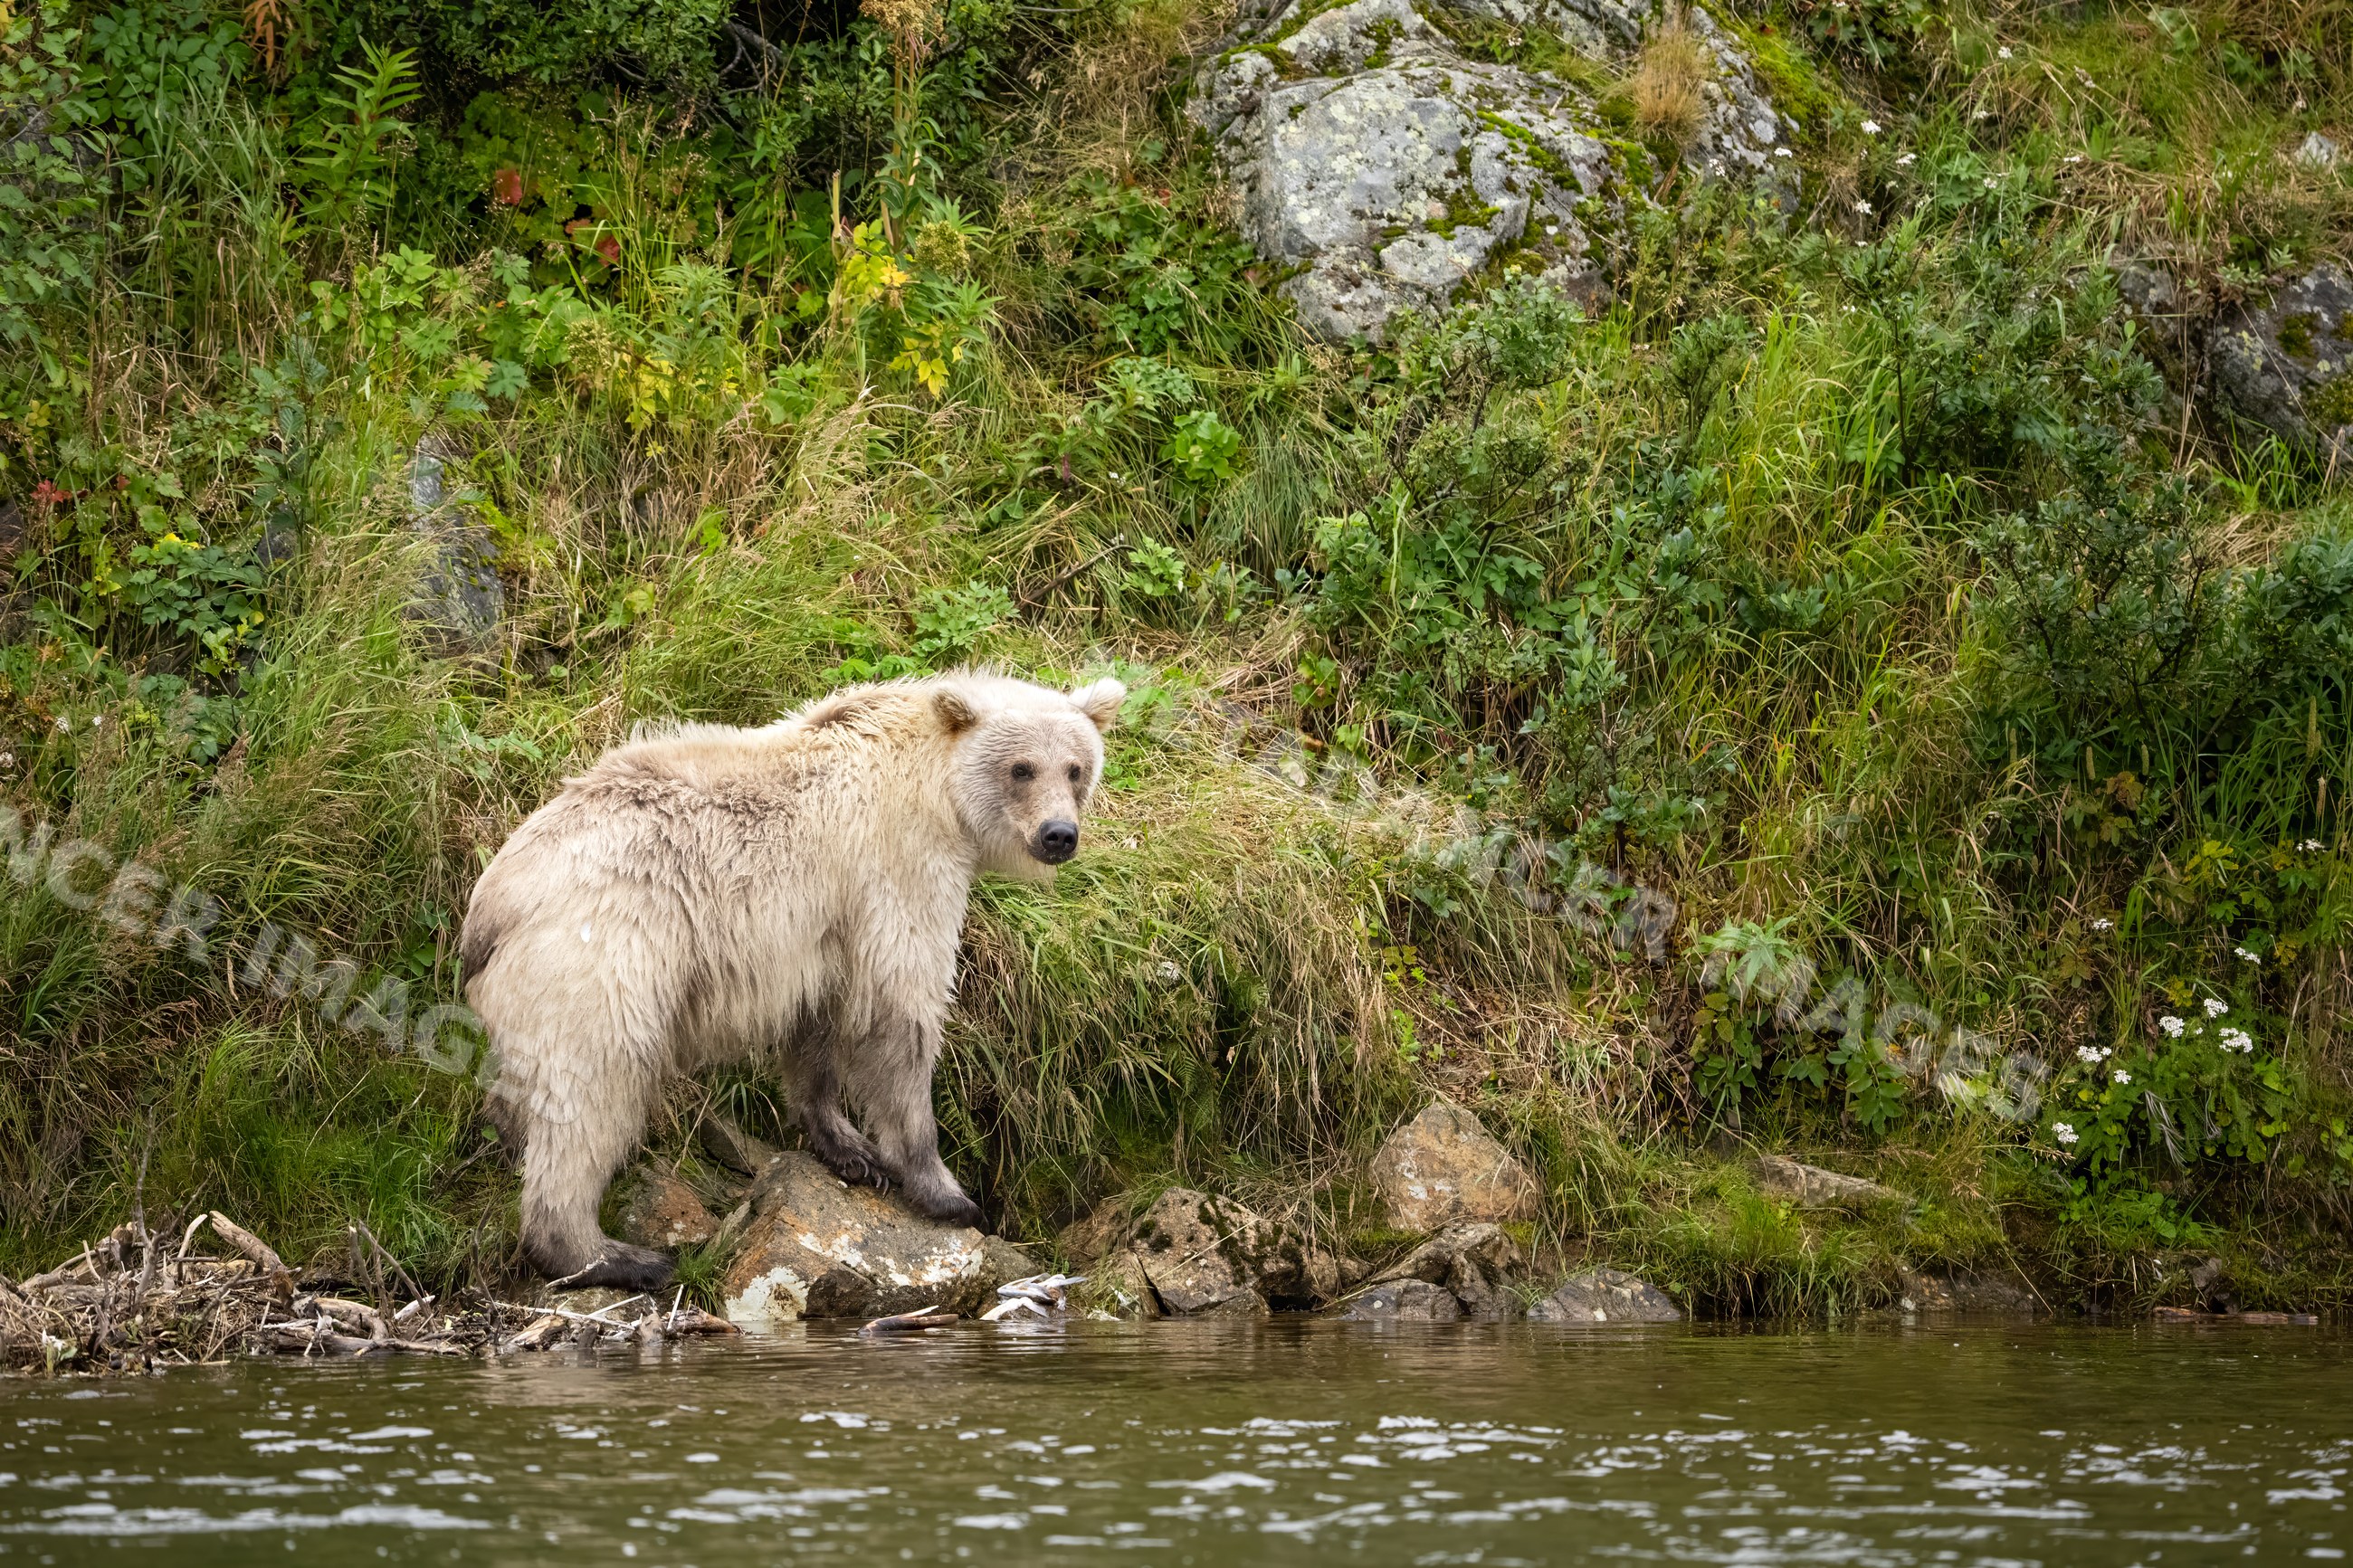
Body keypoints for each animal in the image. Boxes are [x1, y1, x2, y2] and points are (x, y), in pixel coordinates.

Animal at [459, 670, 1125, 1290]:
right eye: (1021, 768)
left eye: (1075, 768)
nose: (1058, 834)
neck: (938, 792)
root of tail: (488, 907)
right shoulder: (898, 870)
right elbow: (901, 1016)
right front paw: (945, 1190)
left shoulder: (827, 936)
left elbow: (821, 1030)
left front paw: (850, 1149)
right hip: (603, 958)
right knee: (591, 1098)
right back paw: (613, 1255)